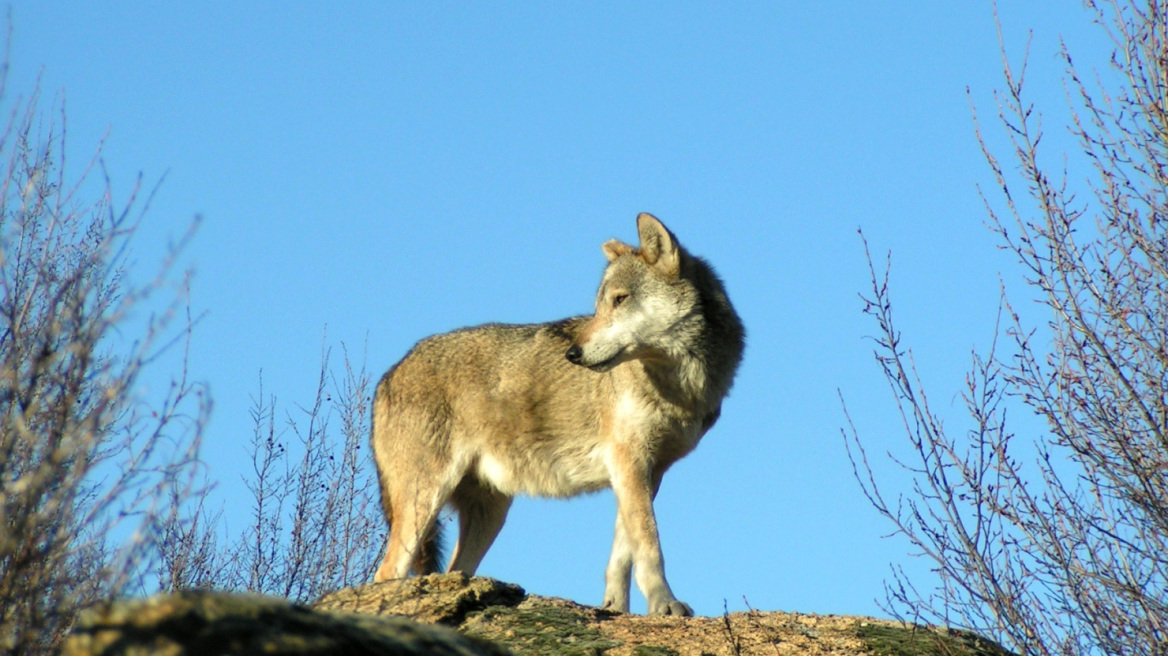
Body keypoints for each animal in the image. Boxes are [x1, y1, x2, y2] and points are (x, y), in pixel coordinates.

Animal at [369, 213, 742, 611]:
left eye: (620, 300)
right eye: (599, 306)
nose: (573, 354)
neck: (680, 386)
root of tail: (387, 375)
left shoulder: (645, 471)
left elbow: (622, 555)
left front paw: (614, 609)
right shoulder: (629, 461)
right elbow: (649, 545)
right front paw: (664, 604)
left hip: (490, 514)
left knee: (451, 570)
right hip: (424, 503)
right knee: (386, 573)